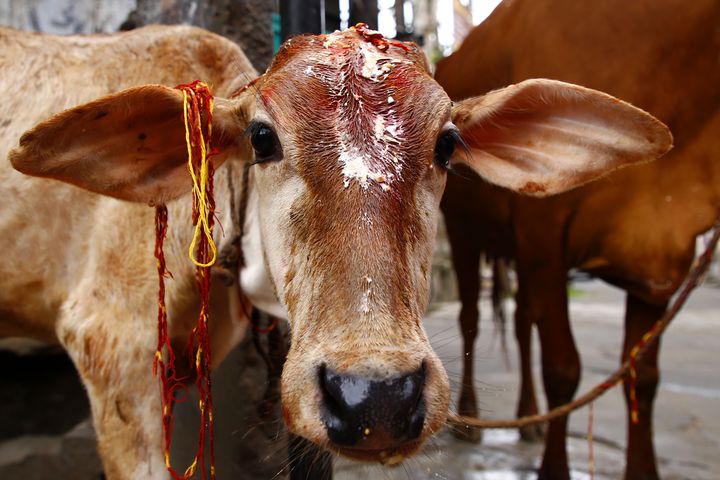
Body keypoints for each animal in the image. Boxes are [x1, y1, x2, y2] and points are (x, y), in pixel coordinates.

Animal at [436, 0, 720, 479]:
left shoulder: (658, 258)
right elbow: (562, 369)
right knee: (471, 318)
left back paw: (528, 416)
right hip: (463, 232)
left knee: (521, 322)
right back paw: (470, 417)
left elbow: (642, 377)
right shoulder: (544, 237)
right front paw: (553, 469)